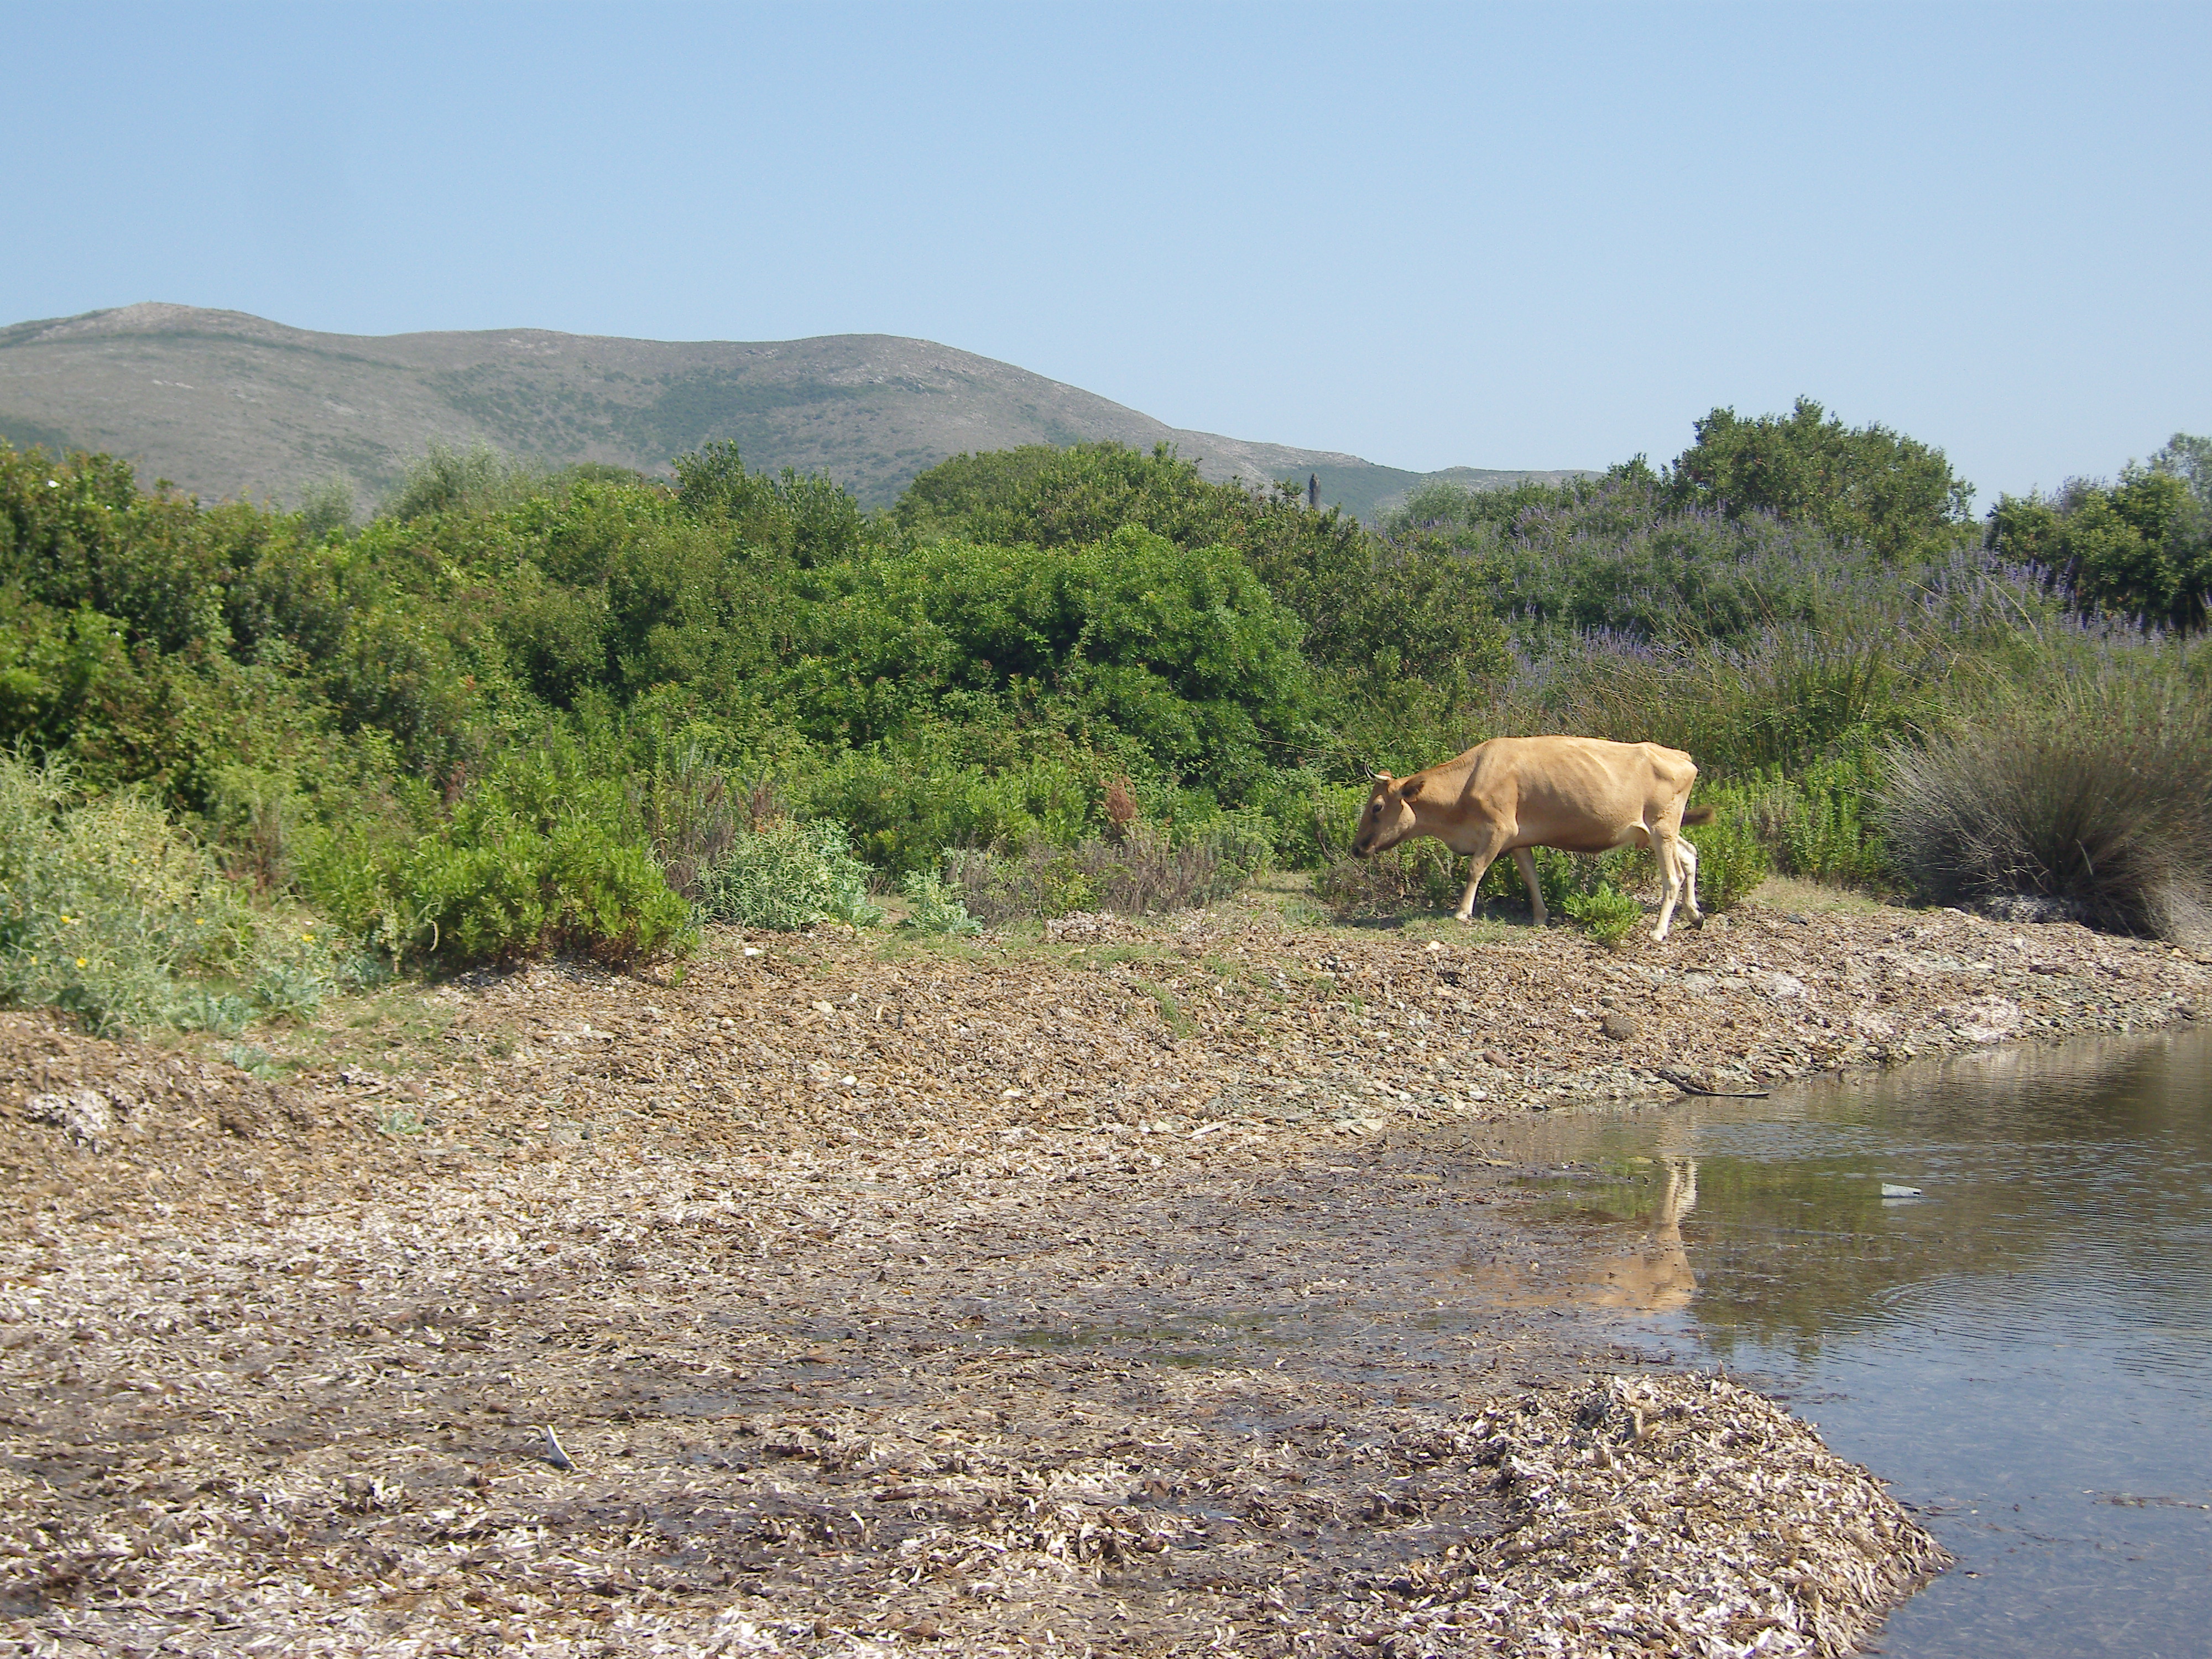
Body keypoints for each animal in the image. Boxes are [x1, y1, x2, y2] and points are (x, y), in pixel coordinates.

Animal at [1336, 734, 1717, 942]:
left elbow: (1475, 868)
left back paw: (1659, 930)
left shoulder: (1499, 829)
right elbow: (1530, 878)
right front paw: (1539, 916)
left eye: (1377, 807)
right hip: (1658, 832)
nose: (1357, 846)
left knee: (1672, 876)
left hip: (1661, 827)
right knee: (1690, 854)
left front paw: (1462, 912)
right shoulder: (1518, 841)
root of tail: (1680, 755)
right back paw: (1695, 914)